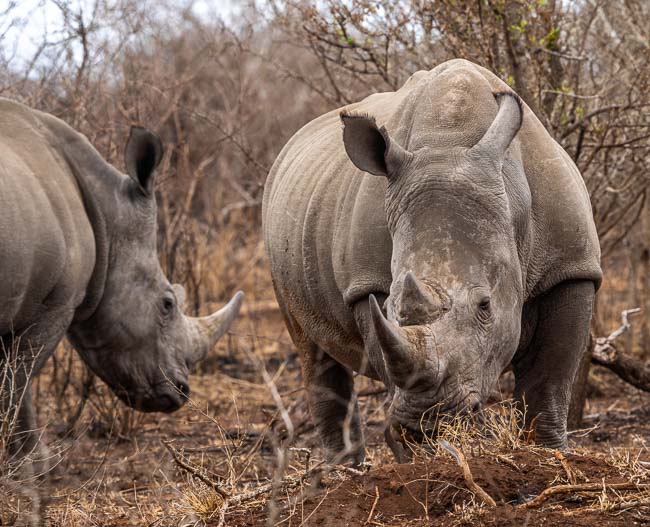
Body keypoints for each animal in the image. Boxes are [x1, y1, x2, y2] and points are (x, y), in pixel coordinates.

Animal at [0, 98, 243, 462]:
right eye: (167, 304)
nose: (182, 391)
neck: (106, 215)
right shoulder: (54, 304)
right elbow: (19, 383)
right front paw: (34, 464)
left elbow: (14, 383)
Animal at [262, 58, 596, 462]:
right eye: (389, 304)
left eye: (485, 305)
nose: (428, 417)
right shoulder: (366, 285)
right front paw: (420, 460)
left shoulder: (570, 268)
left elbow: (548, 385)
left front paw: (548, 457)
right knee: (311, 349)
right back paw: (344, 471)